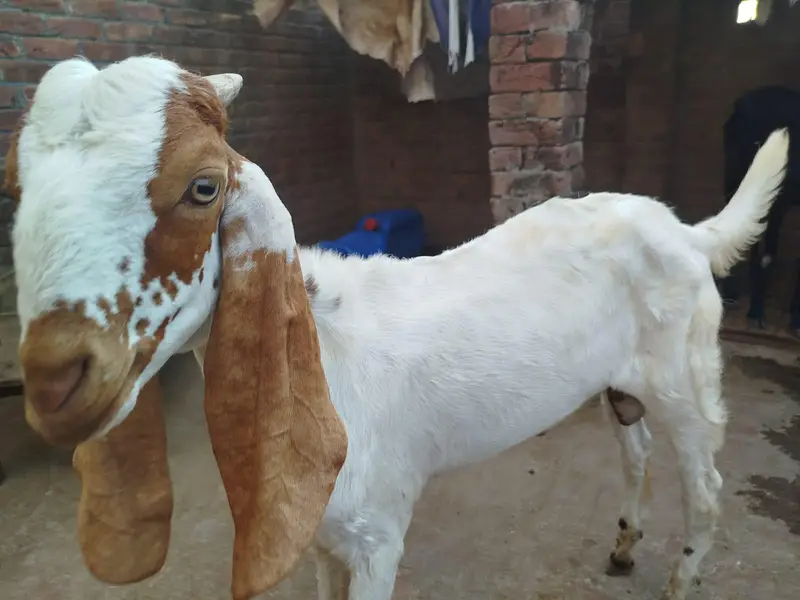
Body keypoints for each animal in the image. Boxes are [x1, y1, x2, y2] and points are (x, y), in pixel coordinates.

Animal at [5, 56, 789, 600]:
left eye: (204, 187)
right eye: (18, 185)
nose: (54, 379)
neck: (326, 352)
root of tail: (684, 230)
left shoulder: (377, 533)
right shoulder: (324, 534)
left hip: (688, 375)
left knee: (705, 480)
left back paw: (681, 580)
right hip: (620, 382)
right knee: (635, 449)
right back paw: (625, 545)